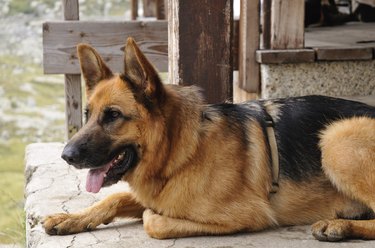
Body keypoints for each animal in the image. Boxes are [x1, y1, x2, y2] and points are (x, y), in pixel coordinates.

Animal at [43, 37, 375, 241]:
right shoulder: (154, 190)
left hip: (337, 139)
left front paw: (150, 215)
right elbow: (114, 198)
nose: (66, 155)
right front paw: (70, 218)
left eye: (113, 115)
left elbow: (155, 220)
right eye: (88, 114)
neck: (182, 151)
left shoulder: (245, 215)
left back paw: (339, 225)